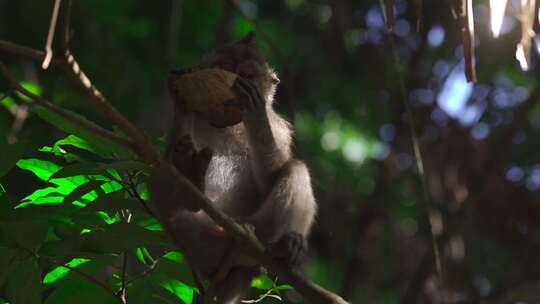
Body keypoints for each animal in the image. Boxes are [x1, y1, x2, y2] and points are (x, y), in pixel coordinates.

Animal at [148, 32, 316, 302]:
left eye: (247, 75)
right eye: (226, 67)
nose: (235, 82)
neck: (227, 125)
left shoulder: (278, 129)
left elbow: (271, 178)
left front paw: (255, 113)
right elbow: (163, 160)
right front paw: (180, 100)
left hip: (260, 229)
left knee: (296, 168)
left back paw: (287, 244)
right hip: (199, 240)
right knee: (161, 184)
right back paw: (191, 178)